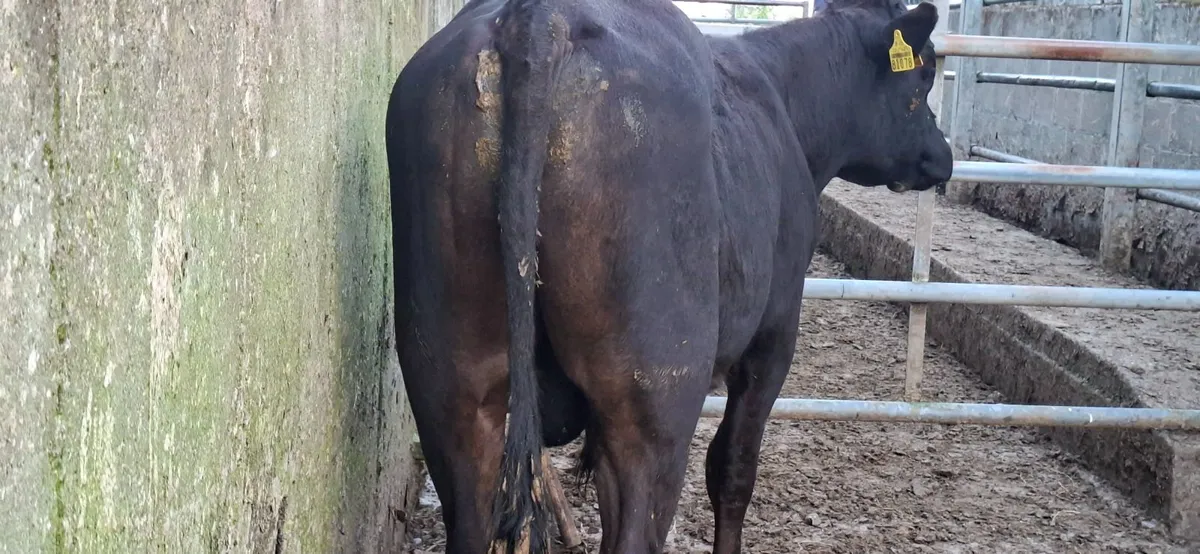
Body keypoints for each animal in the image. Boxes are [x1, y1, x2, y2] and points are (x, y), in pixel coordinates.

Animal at [384, 0, 952, 551]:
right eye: (924, 74)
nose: (942, 156)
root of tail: (541, 19)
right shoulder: (773, 334)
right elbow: (732, 470)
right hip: (657, 392)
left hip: (450, 387)